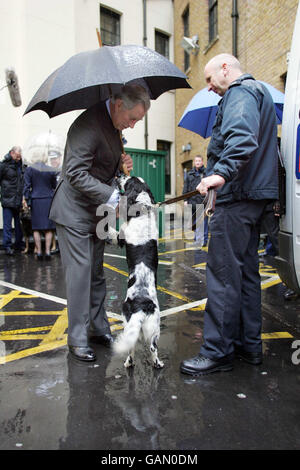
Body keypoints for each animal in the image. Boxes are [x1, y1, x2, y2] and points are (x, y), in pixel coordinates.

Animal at [111, 174, 164, 370]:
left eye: (128, 180)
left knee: (136, 348)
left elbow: (112, 233)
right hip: (151, 326)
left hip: (133, 322)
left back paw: (130, 363)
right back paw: (157, 364)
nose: (119, 174)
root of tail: (141, 307)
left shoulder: (121, 235)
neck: (142, 209)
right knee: (150, 347)